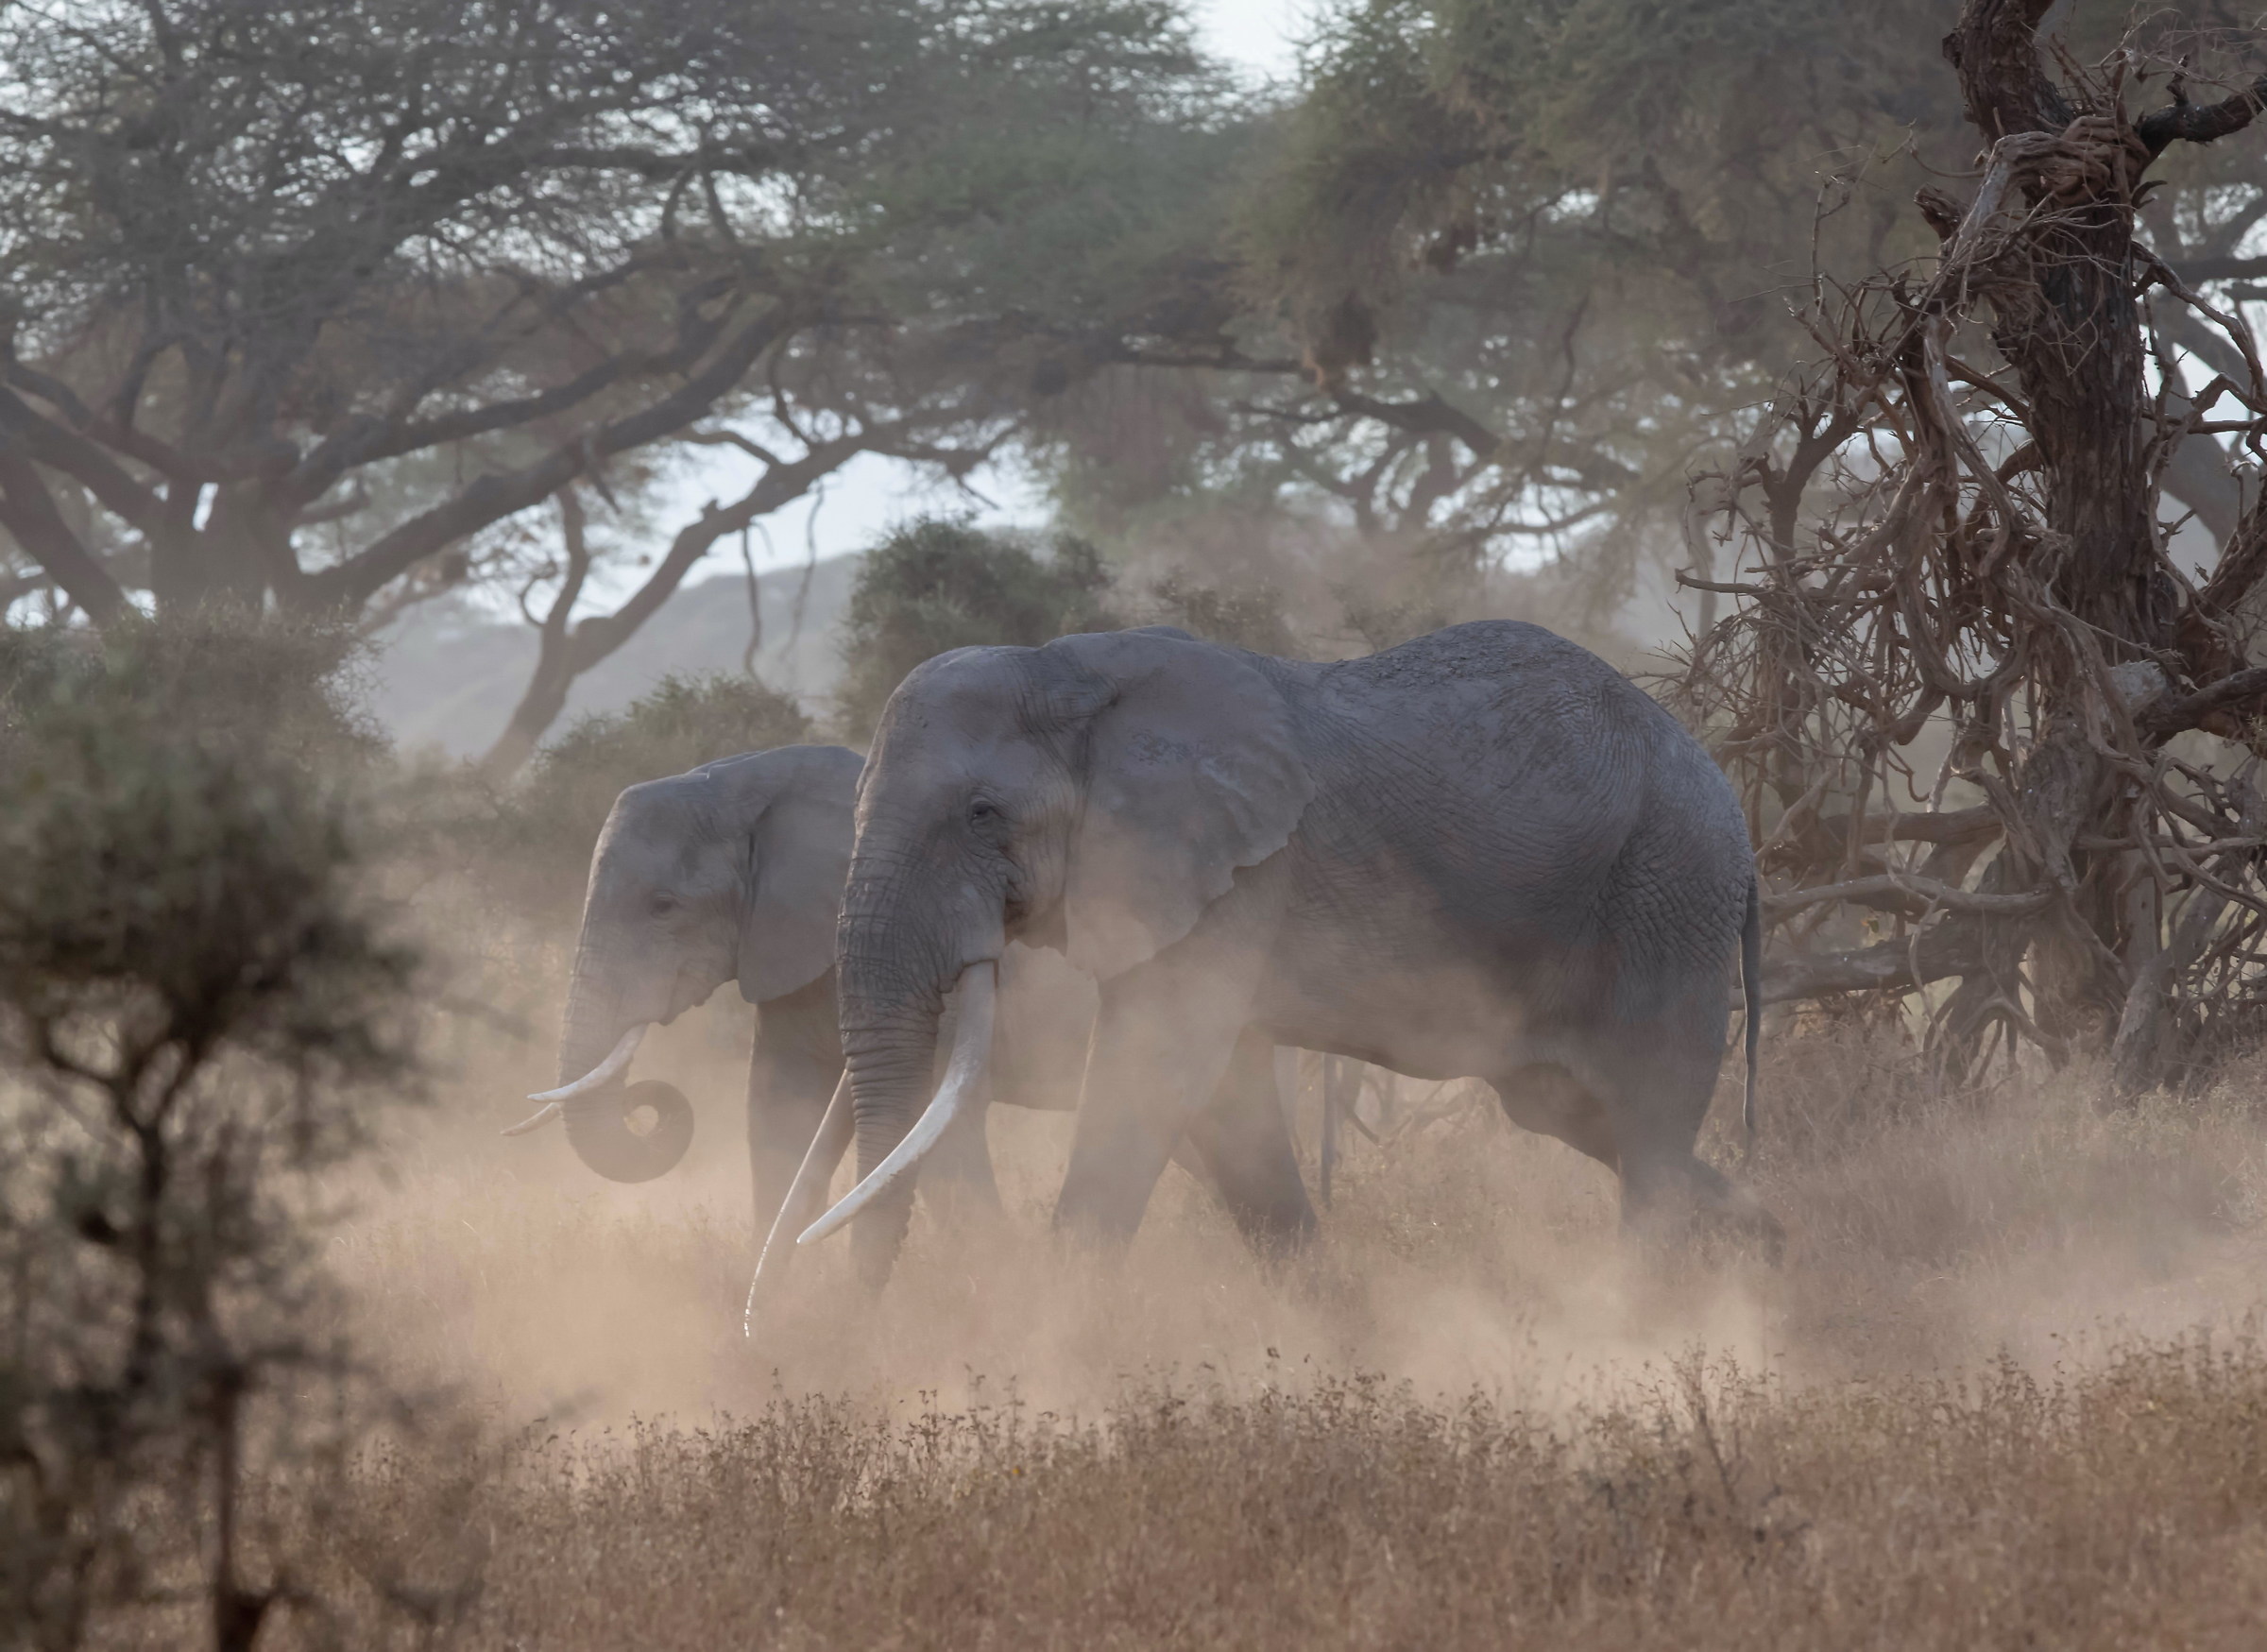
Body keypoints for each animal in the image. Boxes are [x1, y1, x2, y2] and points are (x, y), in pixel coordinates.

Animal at [798, 620, 1770, 1287]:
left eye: (981, 813)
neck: (1068, 668)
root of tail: (1731, 802)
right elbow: (1226, 1101)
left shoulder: (1230, 869)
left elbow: (1154, 1068)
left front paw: (1051, 1344)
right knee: (1582, 1113)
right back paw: (1772, 1248)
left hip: (1670, 890)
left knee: (1648, 1118)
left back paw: (1640, 1318)